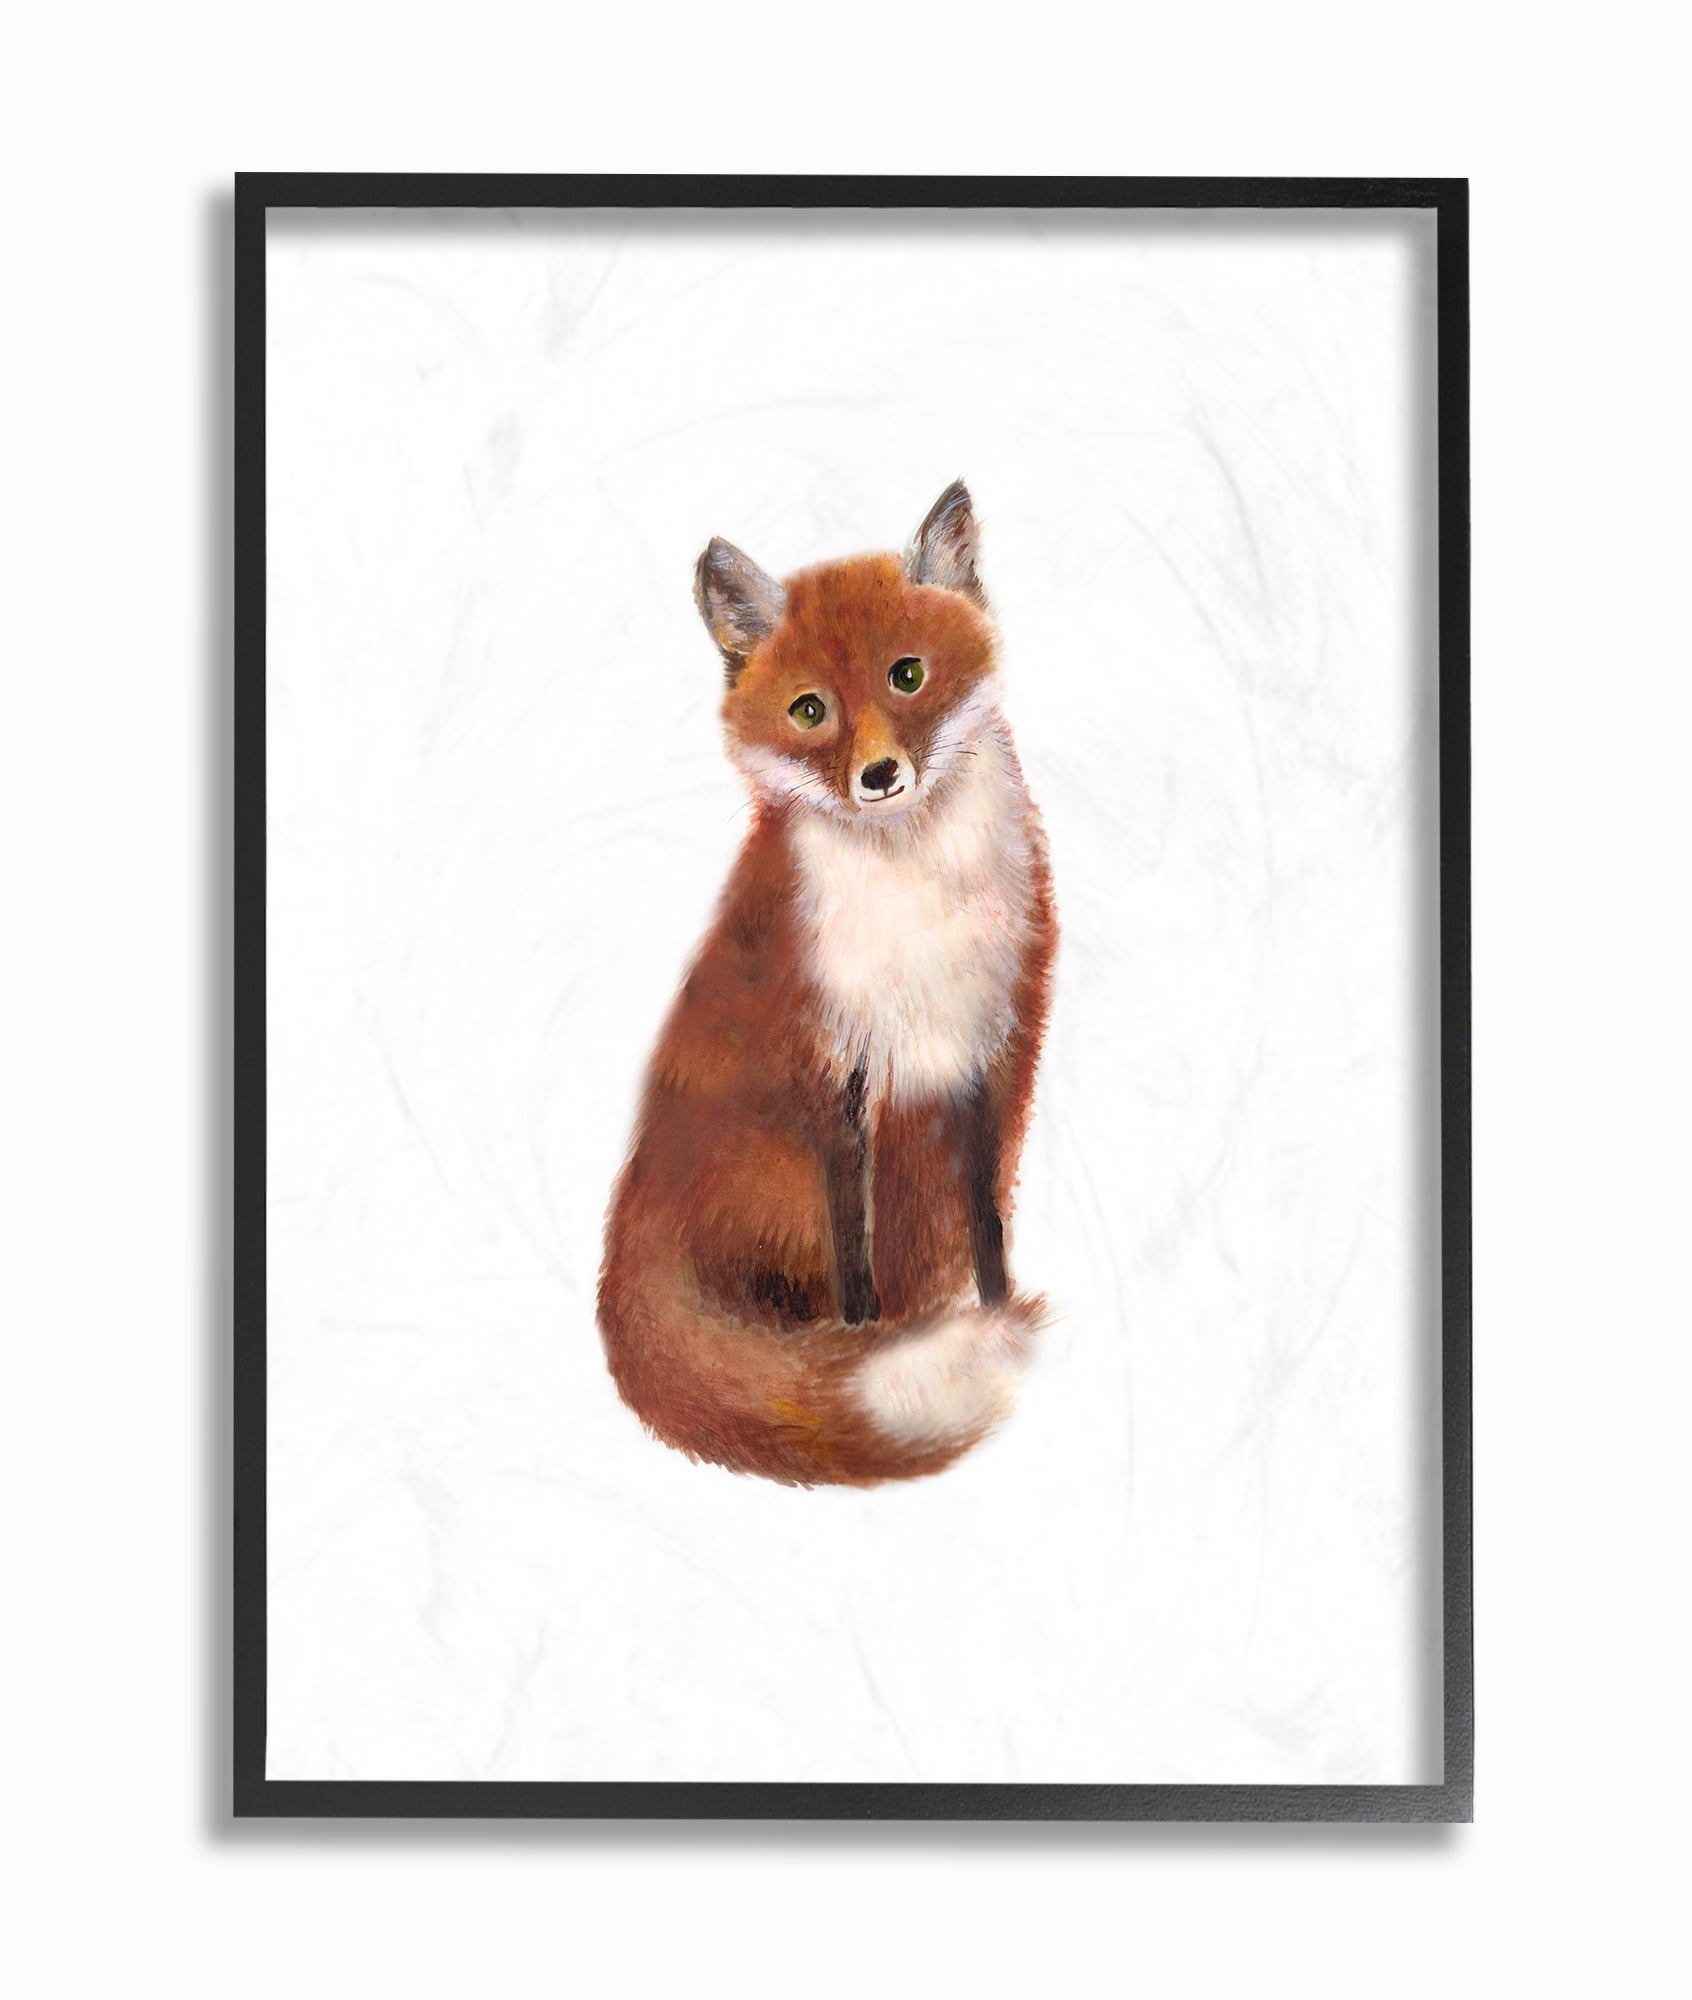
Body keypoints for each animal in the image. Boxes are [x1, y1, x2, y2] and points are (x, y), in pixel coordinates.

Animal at [597, 482, 1057, 1486]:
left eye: (908, 675)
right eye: (810, 710)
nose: (880, 775)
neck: (913, 906)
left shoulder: (990, 1053)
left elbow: (989, 1225)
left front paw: (999, 1312)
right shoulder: (836, 1073)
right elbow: (856, 1259)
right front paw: (864, 1348)